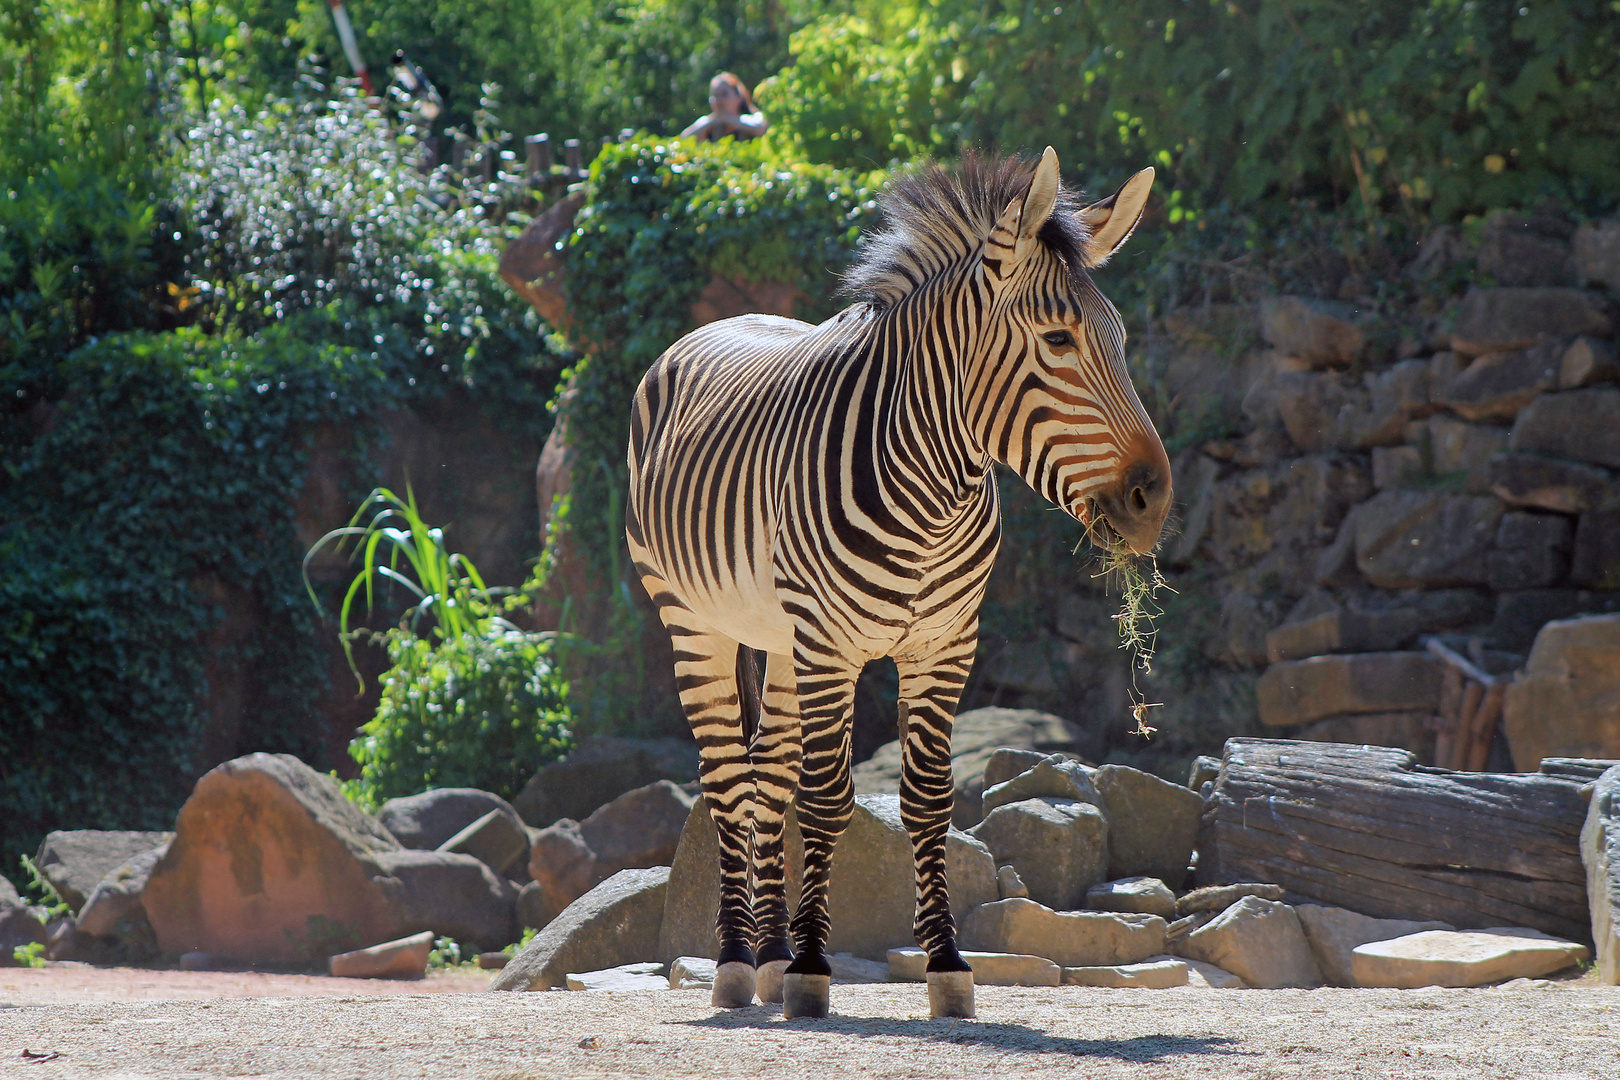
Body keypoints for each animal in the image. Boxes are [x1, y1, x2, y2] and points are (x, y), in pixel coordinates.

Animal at [625, 148, 1172, 1016]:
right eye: (1058, 339)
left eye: (1120, 341)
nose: (1156, 502)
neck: (933, 494)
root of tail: (713, 325)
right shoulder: (829, 645)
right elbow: (826, 798)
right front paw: (815, 969)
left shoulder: (944, 646)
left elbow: (926, 799)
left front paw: (945, 965)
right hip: (695, 621)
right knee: (726, 777)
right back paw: (739, 963)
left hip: (778, 638)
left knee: (767, 774)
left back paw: (770, 956)